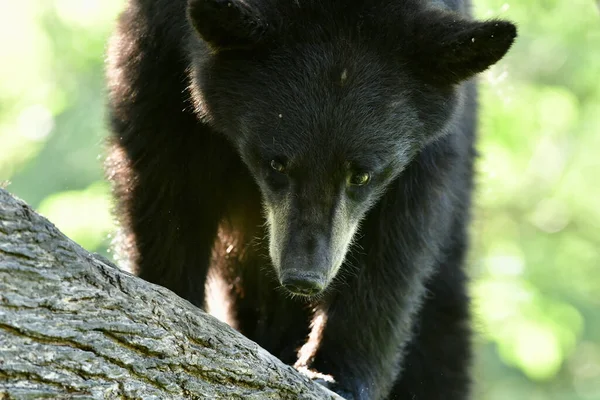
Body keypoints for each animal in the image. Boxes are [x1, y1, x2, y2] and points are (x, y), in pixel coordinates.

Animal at [104, 0, 516, 396]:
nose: (304, 278)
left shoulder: (430, 149)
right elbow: (165, 187)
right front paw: (170, 304)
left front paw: (337, 373)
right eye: (277, 163)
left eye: (361, 174)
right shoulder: (160, 56)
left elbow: (395, 242)